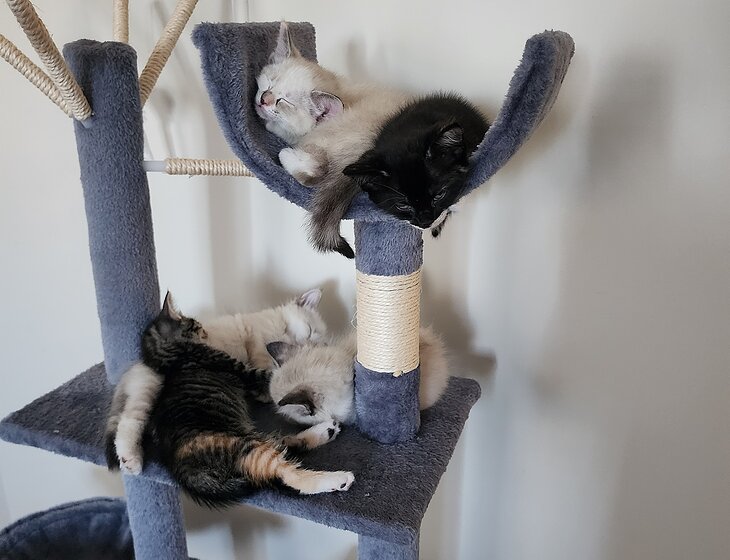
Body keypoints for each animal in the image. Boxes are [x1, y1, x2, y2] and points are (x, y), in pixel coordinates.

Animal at [105, 288, 328, 475]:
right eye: (309, 330)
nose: (302, 349)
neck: (281, 327)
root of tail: (133, 369)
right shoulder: (255, 338)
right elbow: (263, 361)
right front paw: (266, 389)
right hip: (150, 386)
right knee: (129, 420)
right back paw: (131, 460)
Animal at [128, 292, 354, 506]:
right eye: (310, 331)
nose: (308, 346)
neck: (175, 358)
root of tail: (184, 472)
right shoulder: (247, 358)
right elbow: (267, 372)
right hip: (242, 446)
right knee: (286, 473)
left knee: (282, 446)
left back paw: (325, 431)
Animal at [255, 21, 411, 258]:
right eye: (271, 82)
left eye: (284, 101)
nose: (264, 99)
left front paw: (271, 127)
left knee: (318, 172)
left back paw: (286, 154)